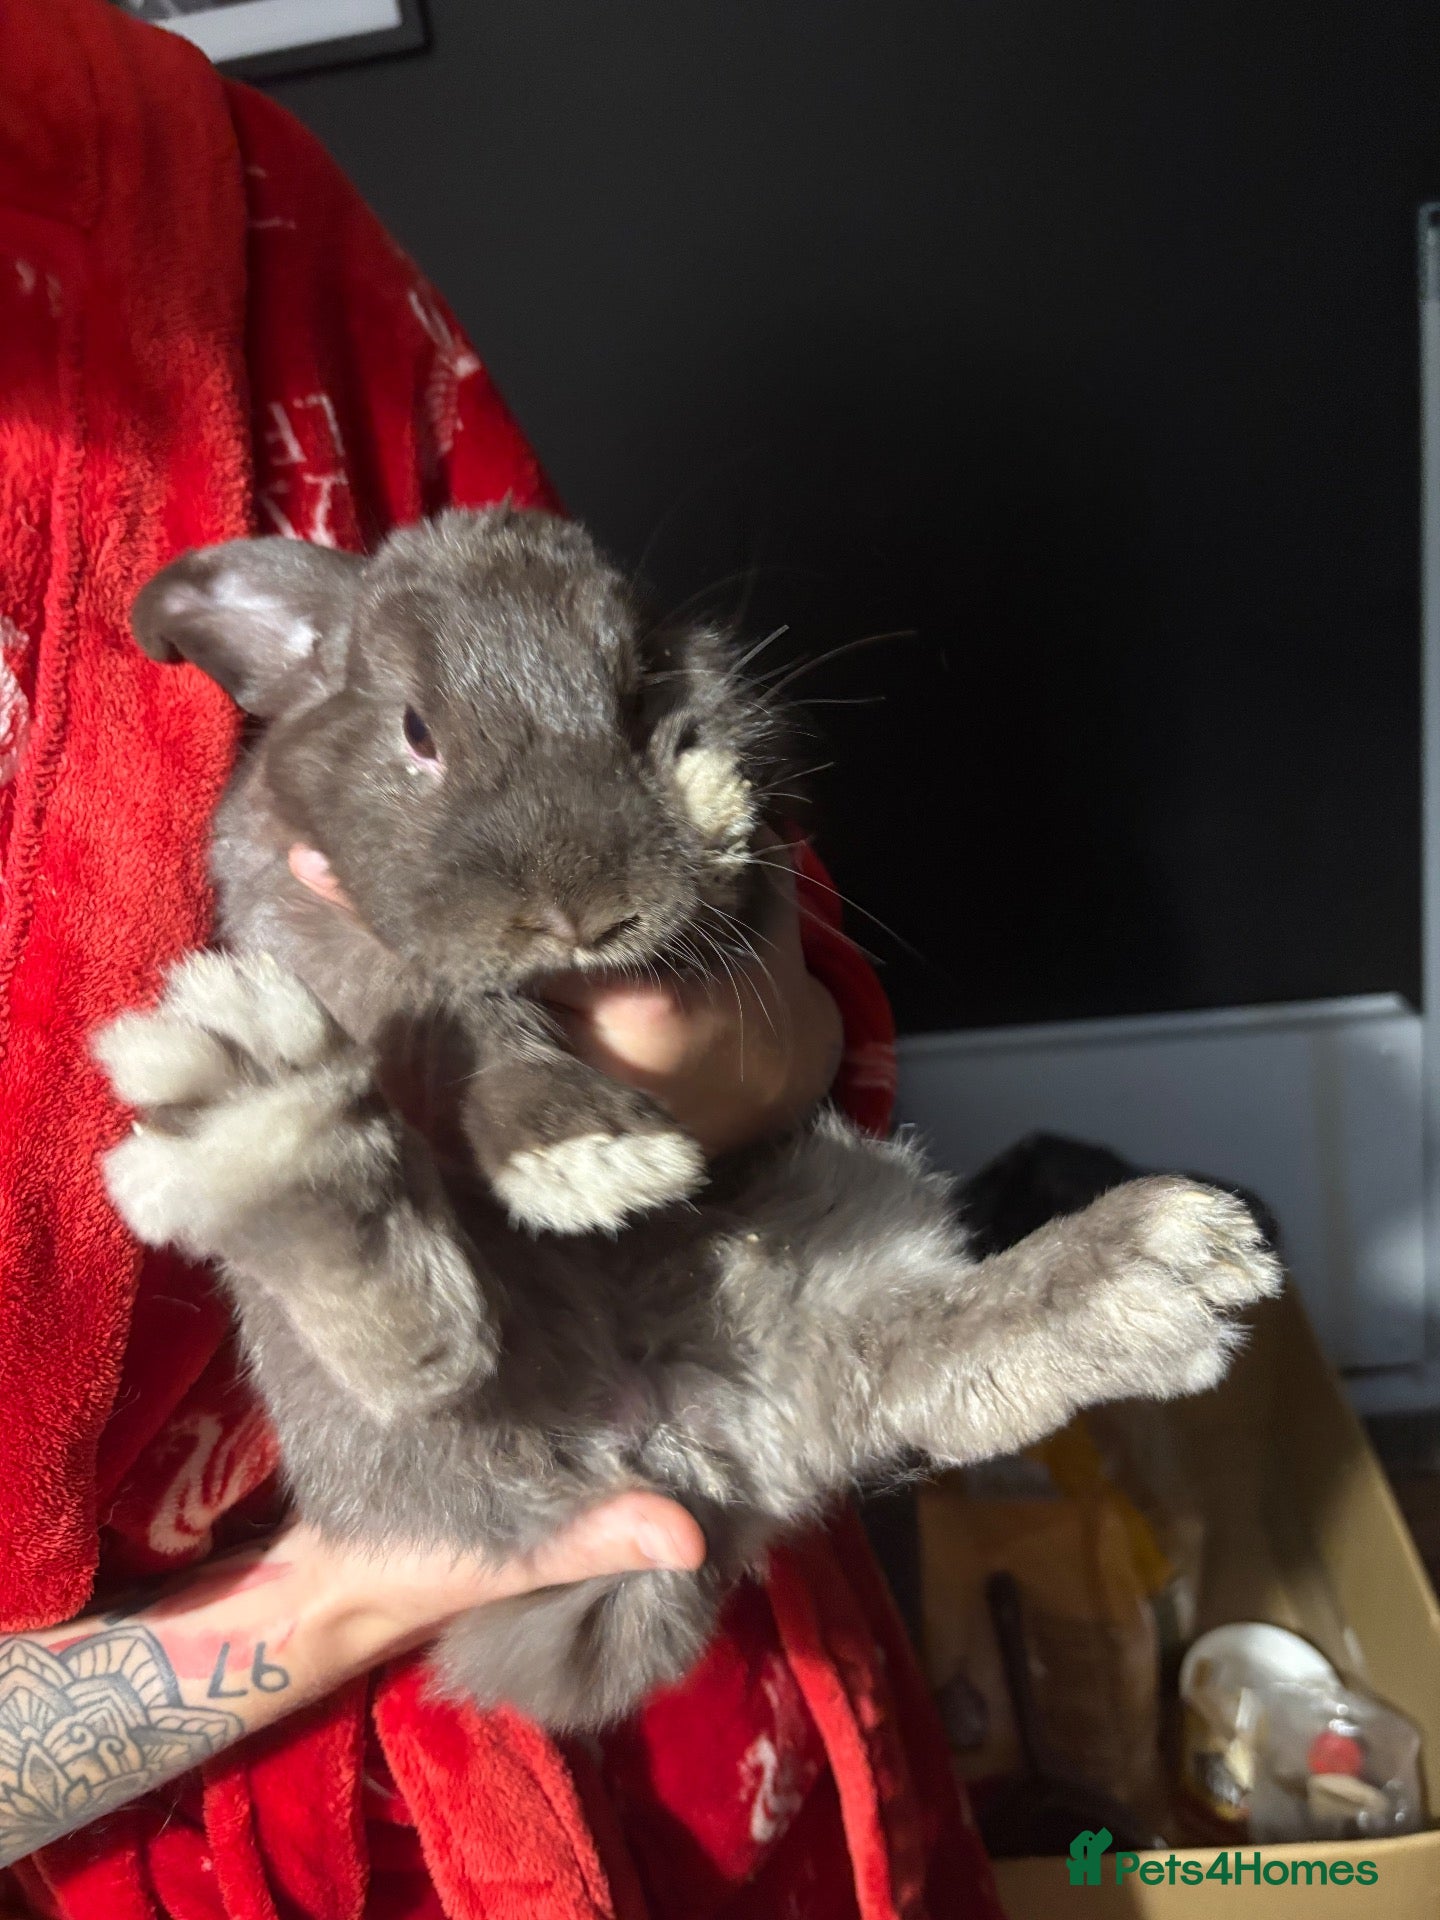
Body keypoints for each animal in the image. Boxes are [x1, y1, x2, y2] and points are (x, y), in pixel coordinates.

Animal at [92, 506, 1281, 1731]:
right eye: (417, 730)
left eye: (642, 686)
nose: (584, 908)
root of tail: (673, 1438)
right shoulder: (312, 920)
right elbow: (458, 1012)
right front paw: (581, 1148)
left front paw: (708, 802)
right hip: (349, 1388)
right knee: (428, 1363)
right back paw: (268, 1127)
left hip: (838, 1221)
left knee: (924, 1365)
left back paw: (1157, 1273)